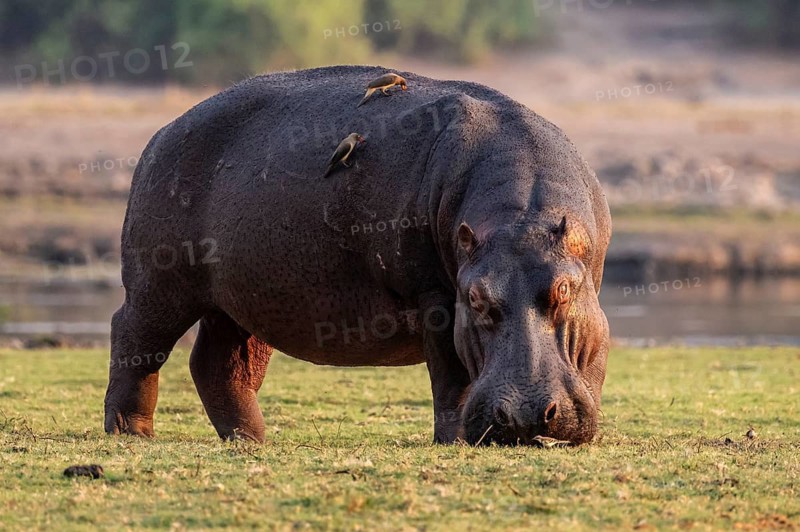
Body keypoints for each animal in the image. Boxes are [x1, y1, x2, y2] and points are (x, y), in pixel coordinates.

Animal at [104, 65, 611, 445]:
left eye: (565, 290)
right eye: (477, 300)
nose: (525, 417)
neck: (518, 213)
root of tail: (163, 132)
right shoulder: (436, 295)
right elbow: (451, 372)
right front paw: (454, 440)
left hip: (242, 299)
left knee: (220, 363)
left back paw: (250, 440)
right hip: (159, 284)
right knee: (135, 340)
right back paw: (130, 432)